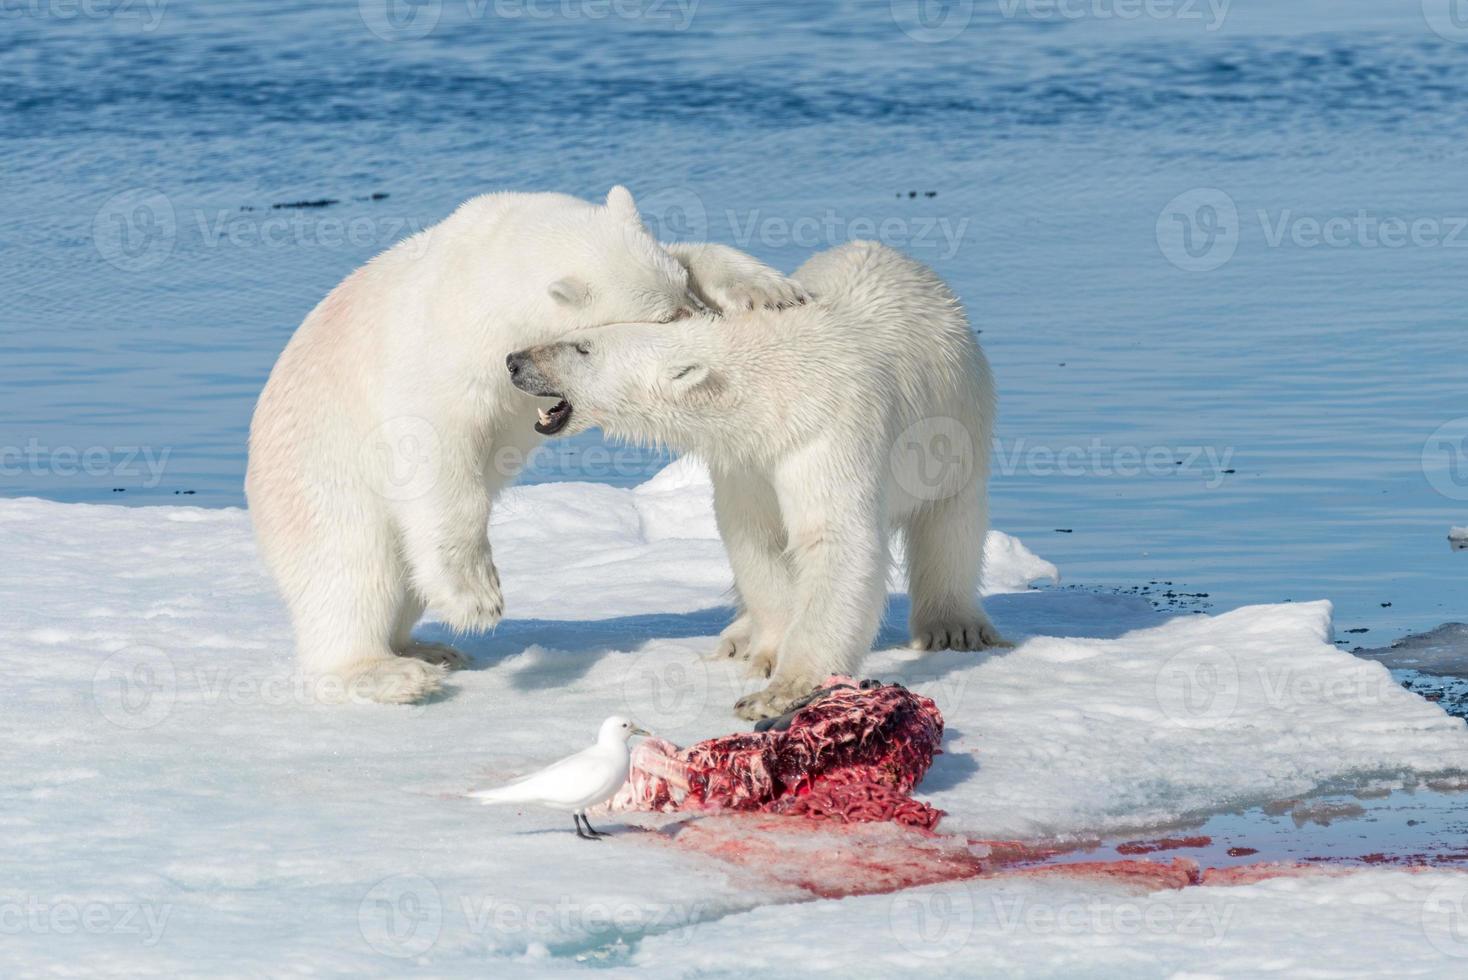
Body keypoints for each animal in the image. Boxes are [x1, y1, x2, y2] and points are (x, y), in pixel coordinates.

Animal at [248, 185, 810, 704]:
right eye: (665, 317)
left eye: (684, 292)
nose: (704, 321)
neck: (478, 276)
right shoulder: (435, 359)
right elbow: (433, 451)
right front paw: (478, 599)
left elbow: (690, 249)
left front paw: (768, 289)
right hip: (321, 492)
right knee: (352, 574)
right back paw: (390, 671)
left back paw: (428, 649)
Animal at [507, 239, 1009, 718]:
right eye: (576, 334)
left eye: (583, 348)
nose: (514, 360)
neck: (774, 386)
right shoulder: (745, 460)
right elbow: (755, 537)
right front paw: (765, 653)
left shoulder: (828, 430)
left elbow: (834, 538)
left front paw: (776, 692)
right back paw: (738, 636)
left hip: (958, 415)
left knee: (950, 521)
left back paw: (953, 627)